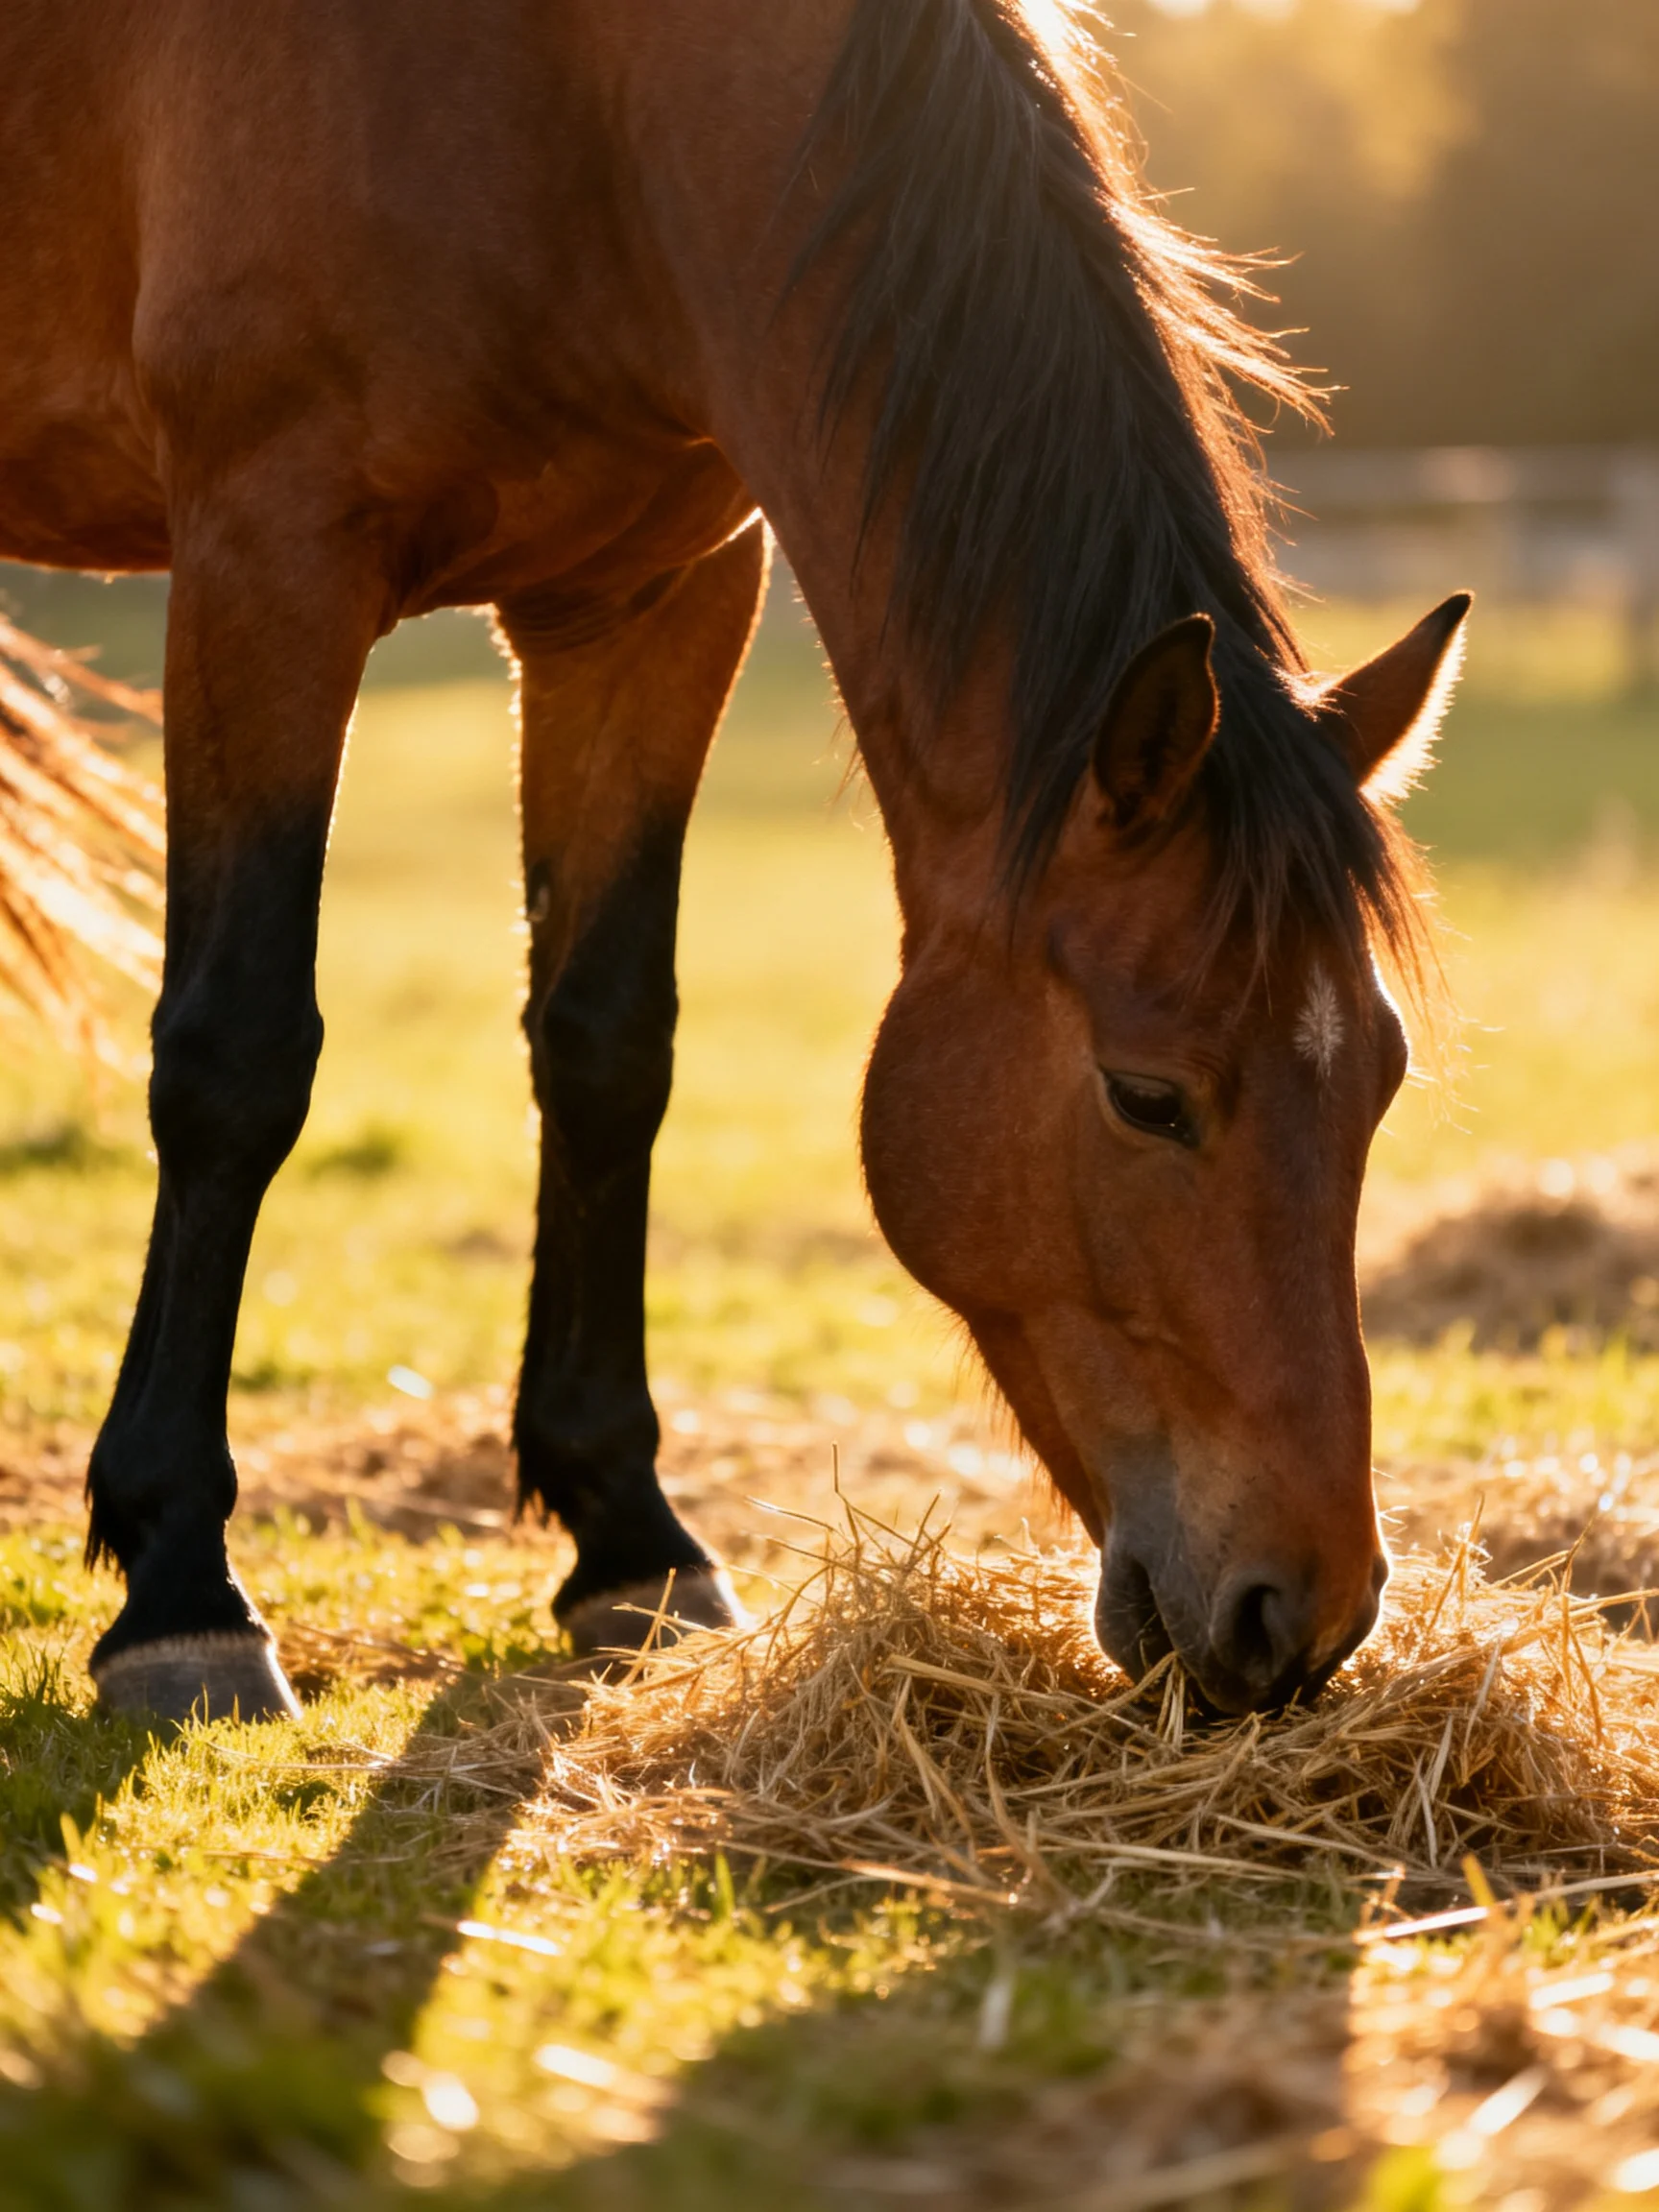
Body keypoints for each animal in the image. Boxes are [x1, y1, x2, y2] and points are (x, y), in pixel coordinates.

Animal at [0, 0, 1468, 1726]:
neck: (571, 100)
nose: (1302, 1613)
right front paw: (180, 1584)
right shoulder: (268, 554)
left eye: (1377, 1082)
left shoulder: (653, 595)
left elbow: (605, 1046)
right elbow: (235, 1058)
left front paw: (629, 1541)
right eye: (1145, 1095)